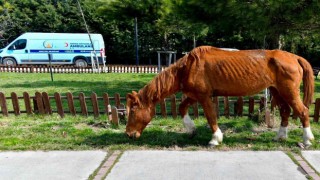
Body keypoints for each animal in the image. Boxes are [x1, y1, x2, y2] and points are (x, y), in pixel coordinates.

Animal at [125, 45, 316, 147]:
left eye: (132, 111)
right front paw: (191, 129)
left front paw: (215, 139)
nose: (128, 134)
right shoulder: (194, 95)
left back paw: (307, 140)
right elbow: (182, 107)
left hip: (289, 92)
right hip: (277, 92)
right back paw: (280, 136)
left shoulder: (203, 97)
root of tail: (295, 57)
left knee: (303, 111)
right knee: (285, 112)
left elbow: (211, 117)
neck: (188, 67)